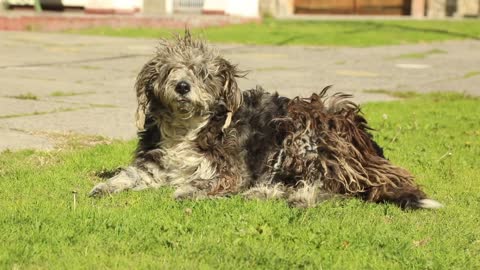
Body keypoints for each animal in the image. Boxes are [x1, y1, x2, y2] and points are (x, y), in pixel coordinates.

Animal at [89, 32, 442, 210]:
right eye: (169, 71)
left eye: (202, 72)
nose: (182, 86)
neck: (188, 128)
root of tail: (369, 153)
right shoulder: (154, 163)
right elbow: (129, 174)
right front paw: (104, 186)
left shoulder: (231, 171)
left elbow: (203, 182)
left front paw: (187, 191)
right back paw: (266, 194)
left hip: (304, 128)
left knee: (331, 187)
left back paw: (295, 197)